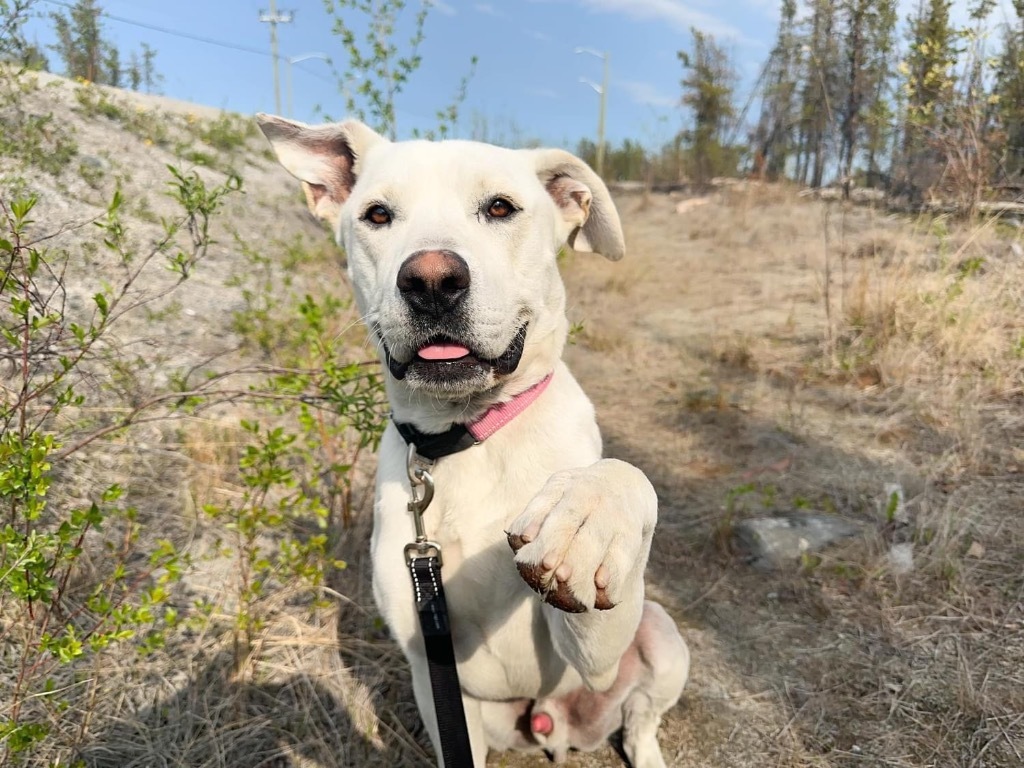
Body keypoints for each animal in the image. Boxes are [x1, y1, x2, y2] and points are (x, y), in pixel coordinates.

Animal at [256, 114, 688, 768]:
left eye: (501, 207)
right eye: (377, 214)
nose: (432, 280)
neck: (471, 435)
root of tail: (552, 727)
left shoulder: (592, 652)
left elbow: (621, 475)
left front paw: (587, 514)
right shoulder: (432, 665)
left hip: (661, 637)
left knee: (640, 723)